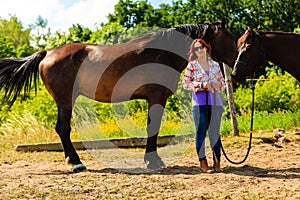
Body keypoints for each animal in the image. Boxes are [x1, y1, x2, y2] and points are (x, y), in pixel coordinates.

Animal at [0, 19, 237, 172]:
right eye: (229, 36)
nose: (236, 64)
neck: (161, 54)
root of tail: (47, 53)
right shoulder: (156, 98)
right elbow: (153, 128)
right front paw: (154, 162)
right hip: (65, 101)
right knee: (63, 129)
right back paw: (76, 163)